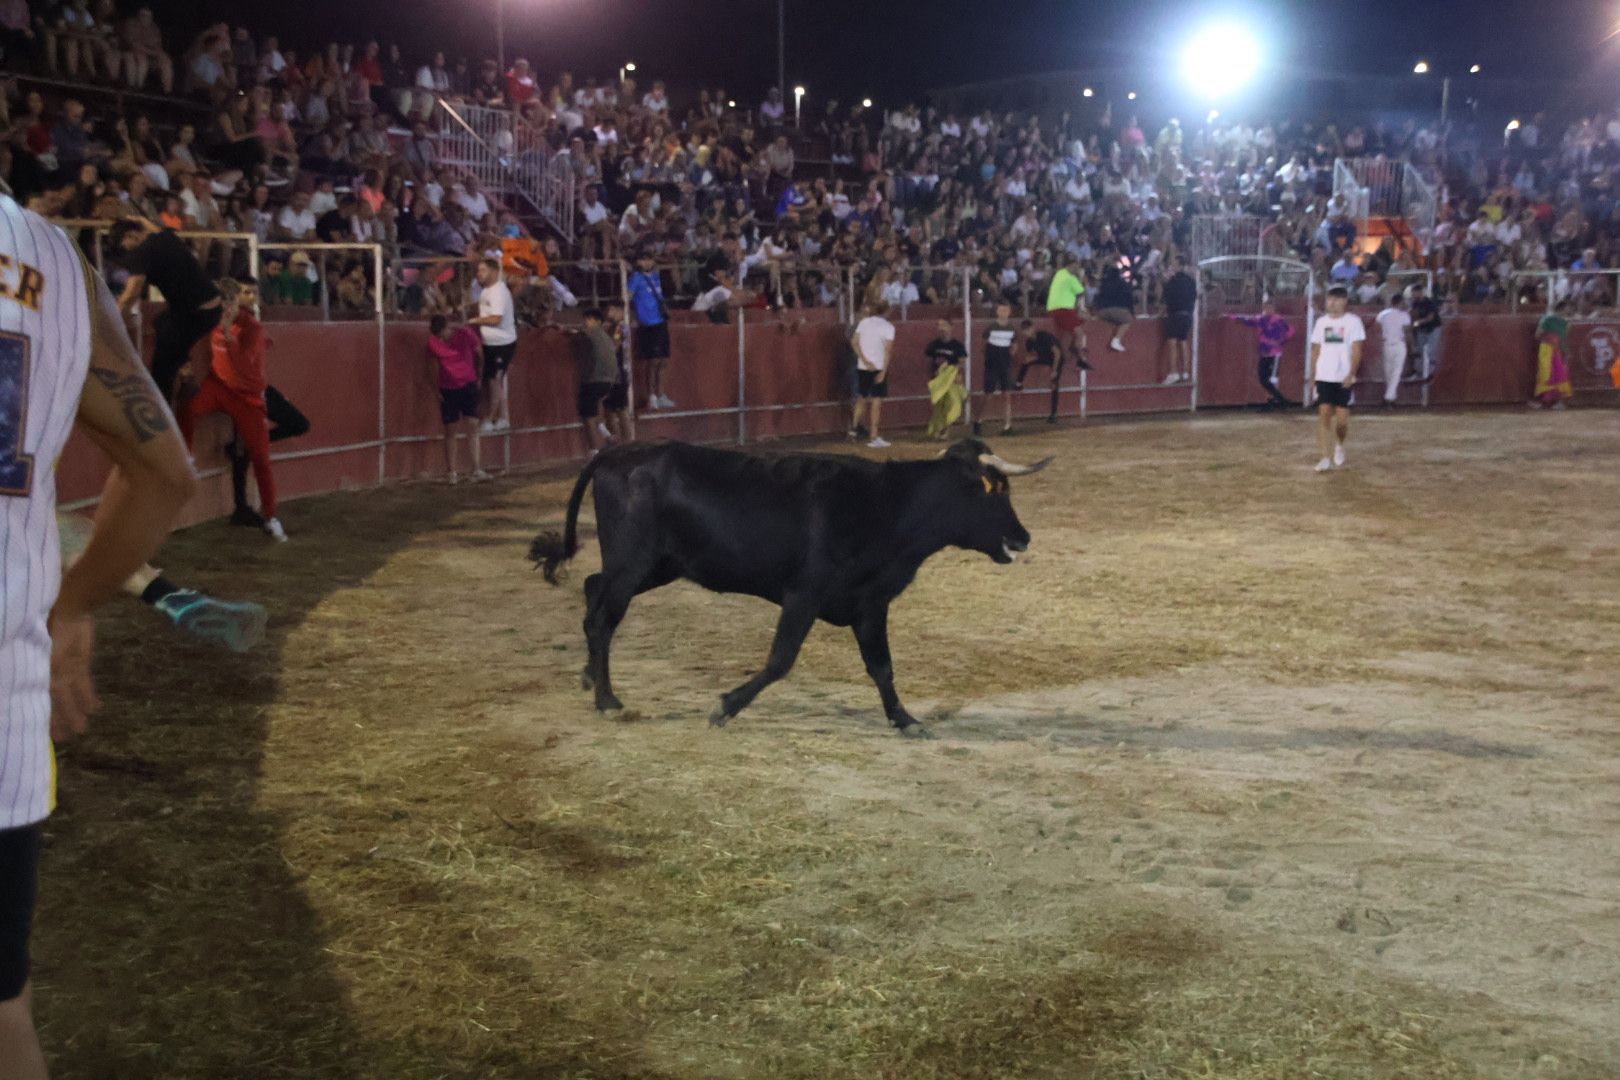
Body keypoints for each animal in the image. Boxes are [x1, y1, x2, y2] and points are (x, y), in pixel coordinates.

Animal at [524, 437, 1043, 735]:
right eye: (994, 491)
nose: (1023, 536)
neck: (889, 505)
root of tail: (616, 454)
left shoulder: (870, 603)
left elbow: (882, 667)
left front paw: (904, 719)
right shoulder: (804, 597)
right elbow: (781, 659)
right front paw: (725, 706)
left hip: (655, 566)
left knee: (592, 592)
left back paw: (592, 679)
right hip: (633, 563)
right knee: (603, 616)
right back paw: (608, 700)